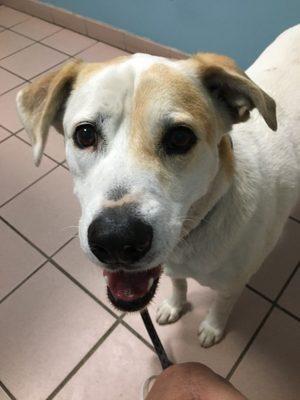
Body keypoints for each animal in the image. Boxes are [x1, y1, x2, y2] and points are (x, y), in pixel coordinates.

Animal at [17, 25, 300, 346]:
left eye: (180, 137)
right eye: (85, 134)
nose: (116, 240)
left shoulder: (233, 285)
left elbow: (221, 305)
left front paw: (212, 327)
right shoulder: (173, 267)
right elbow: (178, 284)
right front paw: (175, 306)